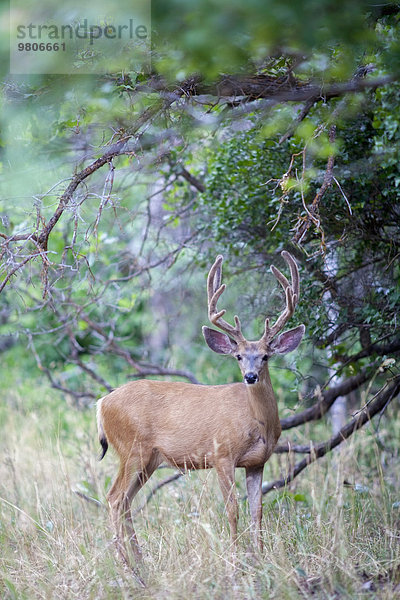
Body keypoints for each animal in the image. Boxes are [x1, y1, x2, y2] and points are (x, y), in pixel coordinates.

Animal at [96, 250, 304, 568]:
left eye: (266, 356)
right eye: (239, 356)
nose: (250, 376)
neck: (257, 422)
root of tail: (101, 403)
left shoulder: (257, 462)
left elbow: (257, 510)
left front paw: (260, 558)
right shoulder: (222, 454)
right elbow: (232, 509)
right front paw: (235, 560)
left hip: (150, 459)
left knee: (127, 501)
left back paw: (141, 563)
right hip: (131, 447)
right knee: (114, 497)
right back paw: (127, 566)